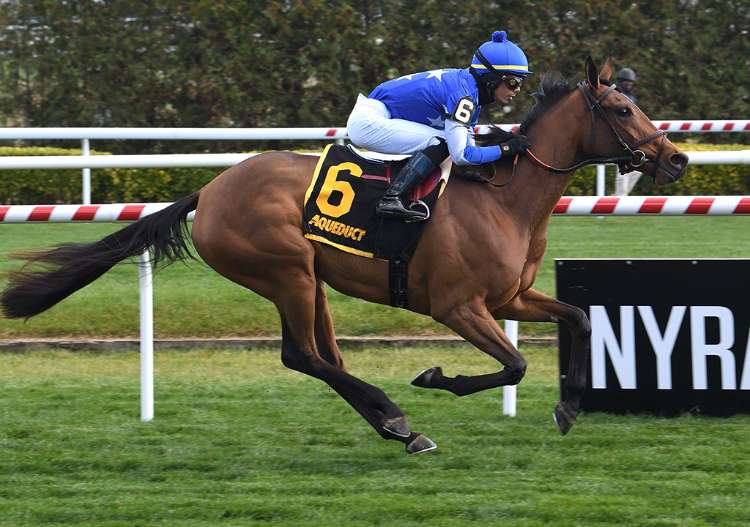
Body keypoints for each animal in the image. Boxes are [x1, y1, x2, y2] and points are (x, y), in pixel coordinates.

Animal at [1, 57, 688, 454]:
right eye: (622, 107)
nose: (677, 159)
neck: (505, 197)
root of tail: (211, 189)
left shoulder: (511, 296)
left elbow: (580, 318)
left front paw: (570, 405)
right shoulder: (458, 307)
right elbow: (515, 364)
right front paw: (435, 376)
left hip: (312, 279)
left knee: (322, 358)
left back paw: (396, 427)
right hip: (287, 272)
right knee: (303, 356)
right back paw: (397, 416)